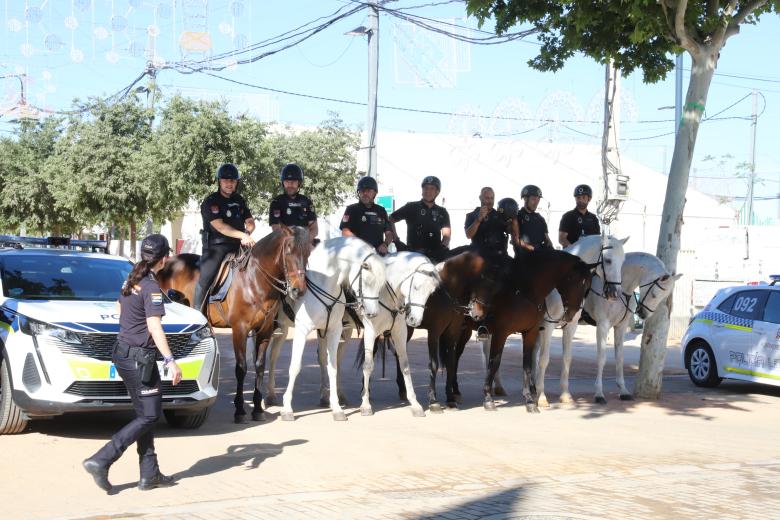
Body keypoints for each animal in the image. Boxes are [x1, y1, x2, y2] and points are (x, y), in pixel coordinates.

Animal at [158, 226, 310, 422]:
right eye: (289, 250)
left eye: (307, 252)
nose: (299, 290)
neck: (255, 281)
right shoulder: (240, 329)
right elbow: (241, 368)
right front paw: (239, 409)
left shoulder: (265, 331)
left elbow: (259, 366)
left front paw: (258, 409)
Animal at [278, 238, 386, 420]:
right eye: (367, 281)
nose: (372, 313)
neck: (324, 284)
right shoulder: (301, 330)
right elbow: (295, 366)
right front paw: (287, 408)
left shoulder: (334, 331)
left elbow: (333, 367)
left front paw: (336, 408)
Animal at [344, 252, 442, 418]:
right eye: (415, 287)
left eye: (431, 292)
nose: (415, 320)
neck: (385, 294)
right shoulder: (370, 332)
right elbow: (368, 365)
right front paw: (365, 405)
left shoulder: (400, 333)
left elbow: (405, 366)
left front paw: (415, 404)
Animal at [532, 250, 680, 404]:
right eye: (654, 294)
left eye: (664, 297)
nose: (643, 314)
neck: (621, 289)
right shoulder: (603, 325)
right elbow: (601, 358)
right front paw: (599, 393)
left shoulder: (621, 327)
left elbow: (619, 358)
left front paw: (623, 390)